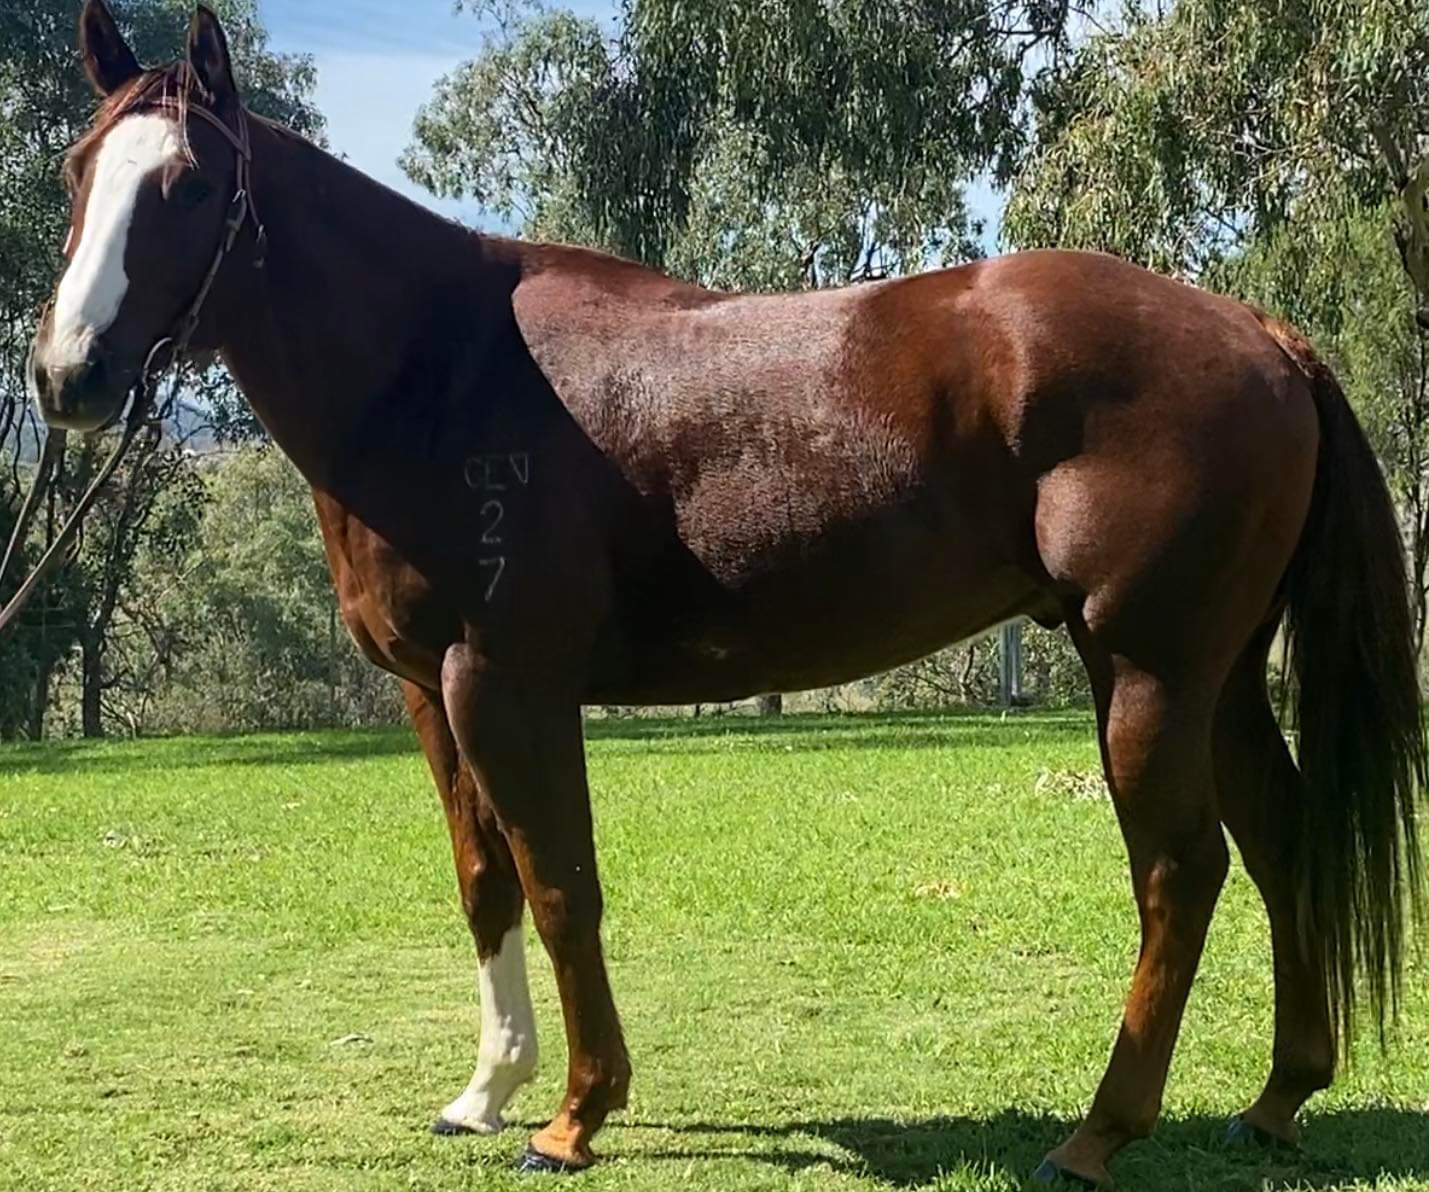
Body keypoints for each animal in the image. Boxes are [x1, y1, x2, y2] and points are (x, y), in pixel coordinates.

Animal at [27, 3, 1424, 1185]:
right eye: (78, 175)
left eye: (188, 185)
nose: (67, 375)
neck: (443, 369)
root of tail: (1261, 333)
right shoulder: (431, 692)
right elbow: (486, 883)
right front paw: (483, 1092)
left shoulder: (507, 682)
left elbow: (560, 882)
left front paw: (573, 1115)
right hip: (1222, 675)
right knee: (1280, 839)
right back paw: (1275, 1099)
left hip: (1145, 669)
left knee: (1180, 871)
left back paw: (1096, 1133)